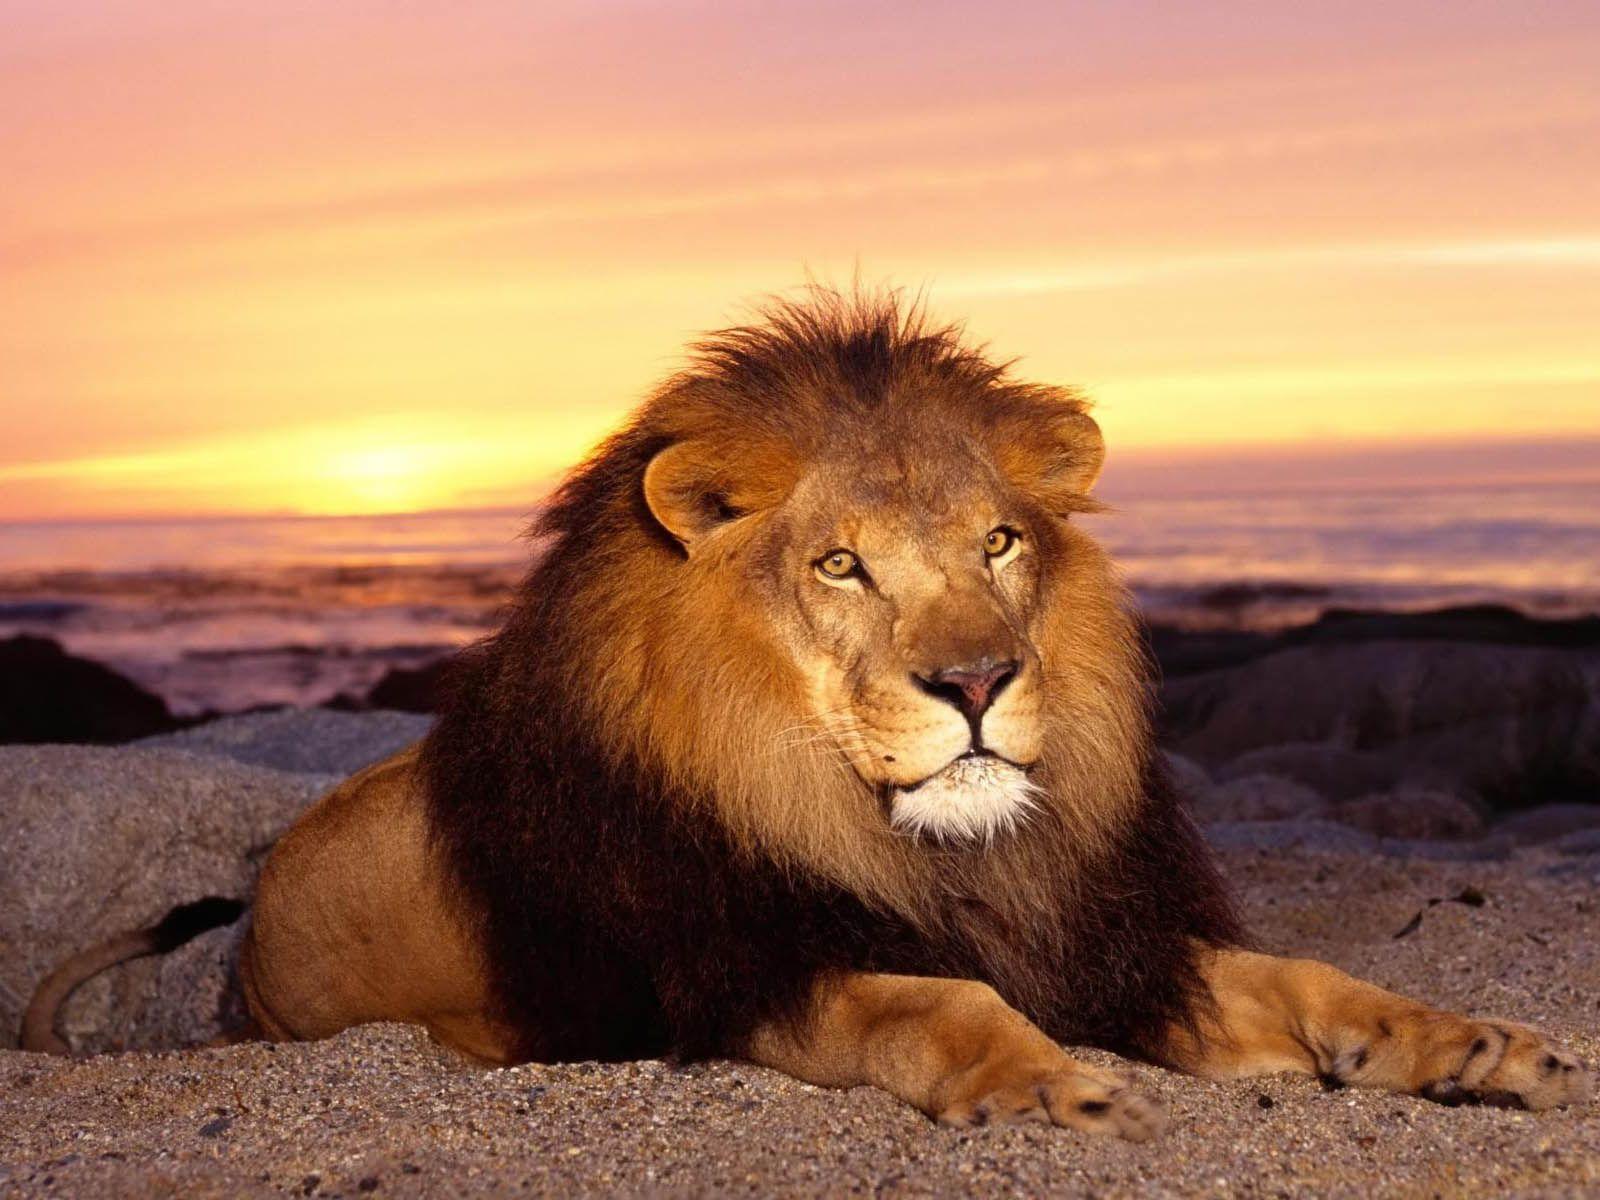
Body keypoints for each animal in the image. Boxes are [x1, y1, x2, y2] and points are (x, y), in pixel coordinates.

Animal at [25, 290, 1591, 1136]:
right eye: (842, 565)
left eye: (999, 545)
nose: (977, 683)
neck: (929, 850)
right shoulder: (743, 973)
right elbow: (932, 999)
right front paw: (1056, 1088)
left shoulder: (1106, 939)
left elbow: (1316, 982)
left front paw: (1473, 1046)